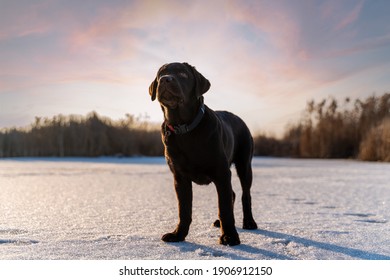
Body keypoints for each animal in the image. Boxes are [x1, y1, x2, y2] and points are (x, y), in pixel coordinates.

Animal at [149, 61, 256, 245]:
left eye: (183, 74)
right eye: (160, 74)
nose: (165, 79)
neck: (184, 128)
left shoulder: (221, 172)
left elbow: (225, 208)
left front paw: (230, 236)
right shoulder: (180, 177)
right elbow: (184, 210)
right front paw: (178, 234)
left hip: (244, 164)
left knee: (244, 195)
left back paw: (249, 222)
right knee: (232, 194)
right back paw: (219, 222)